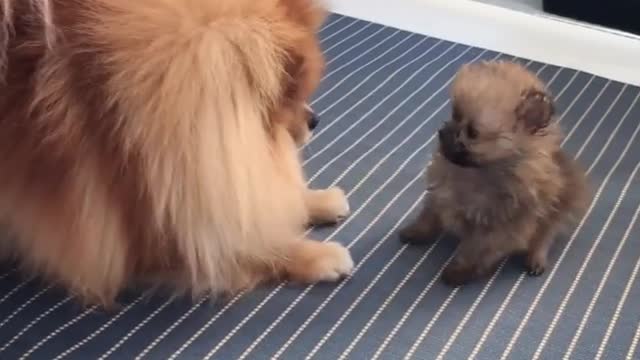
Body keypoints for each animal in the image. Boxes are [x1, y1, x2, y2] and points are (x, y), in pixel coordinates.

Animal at [0, 0, 352, 306]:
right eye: (288, 96)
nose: (315, 120)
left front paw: (317, 200)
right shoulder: (147, 227)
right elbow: (245, 243)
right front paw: (318, 255)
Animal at [402, 61, 588, 286]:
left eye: (472, 133)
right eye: (455, 115)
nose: (443, 131)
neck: (477, 171)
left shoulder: (496, 227)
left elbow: (474, 250)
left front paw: (459, 271)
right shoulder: (440, 194)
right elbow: (428, 216)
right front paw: (416, 231)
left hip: (555, 212)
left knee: (544, 237)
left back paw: (536, 259)